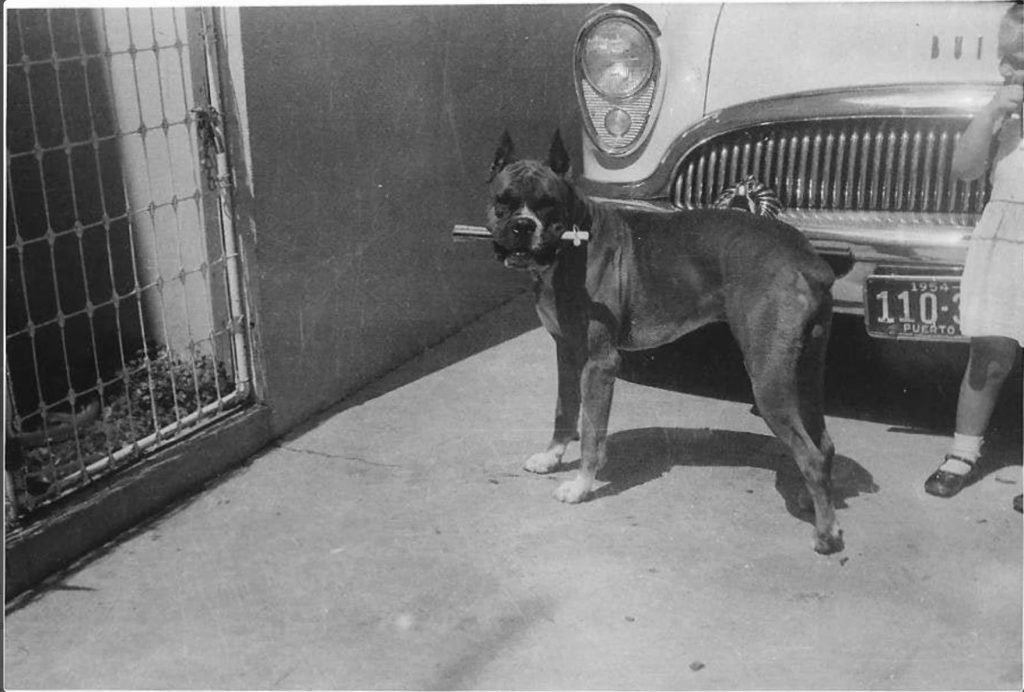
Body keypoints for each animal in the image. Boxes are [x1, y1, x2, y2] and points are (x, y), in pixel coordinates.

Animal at [485, 128, 839, 552]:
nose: (523, 226)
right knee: (823, 444)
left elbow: (591, 432)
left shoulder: (600, 364)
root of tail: (808, 258)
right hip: (804, 372)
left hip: (769, 379)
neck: (574, 238)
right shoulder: (566, 353)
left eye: (547, 205)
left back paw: (826, 534)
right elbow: (564, 410)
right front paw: (551, 457)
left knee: (811, 455)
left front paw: (581, 486)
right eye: (503, 202)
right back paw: (813, 502)